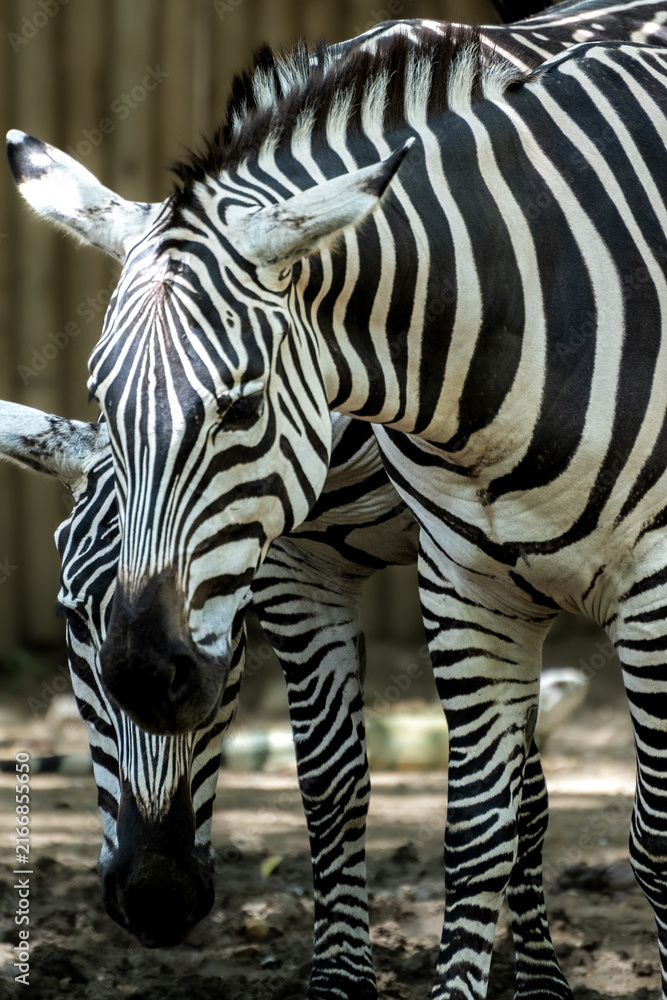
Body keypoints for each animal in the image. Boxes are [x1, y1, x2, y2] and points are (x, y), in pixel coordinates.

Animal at [10, 7, 667, 1000]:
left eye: (240, 407)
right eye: (70, 621)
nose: (156, 901)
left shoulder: (644, 586)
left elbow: (623, 833)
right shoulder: (345, 571)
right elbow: (350, 788)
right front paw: (342, 977)